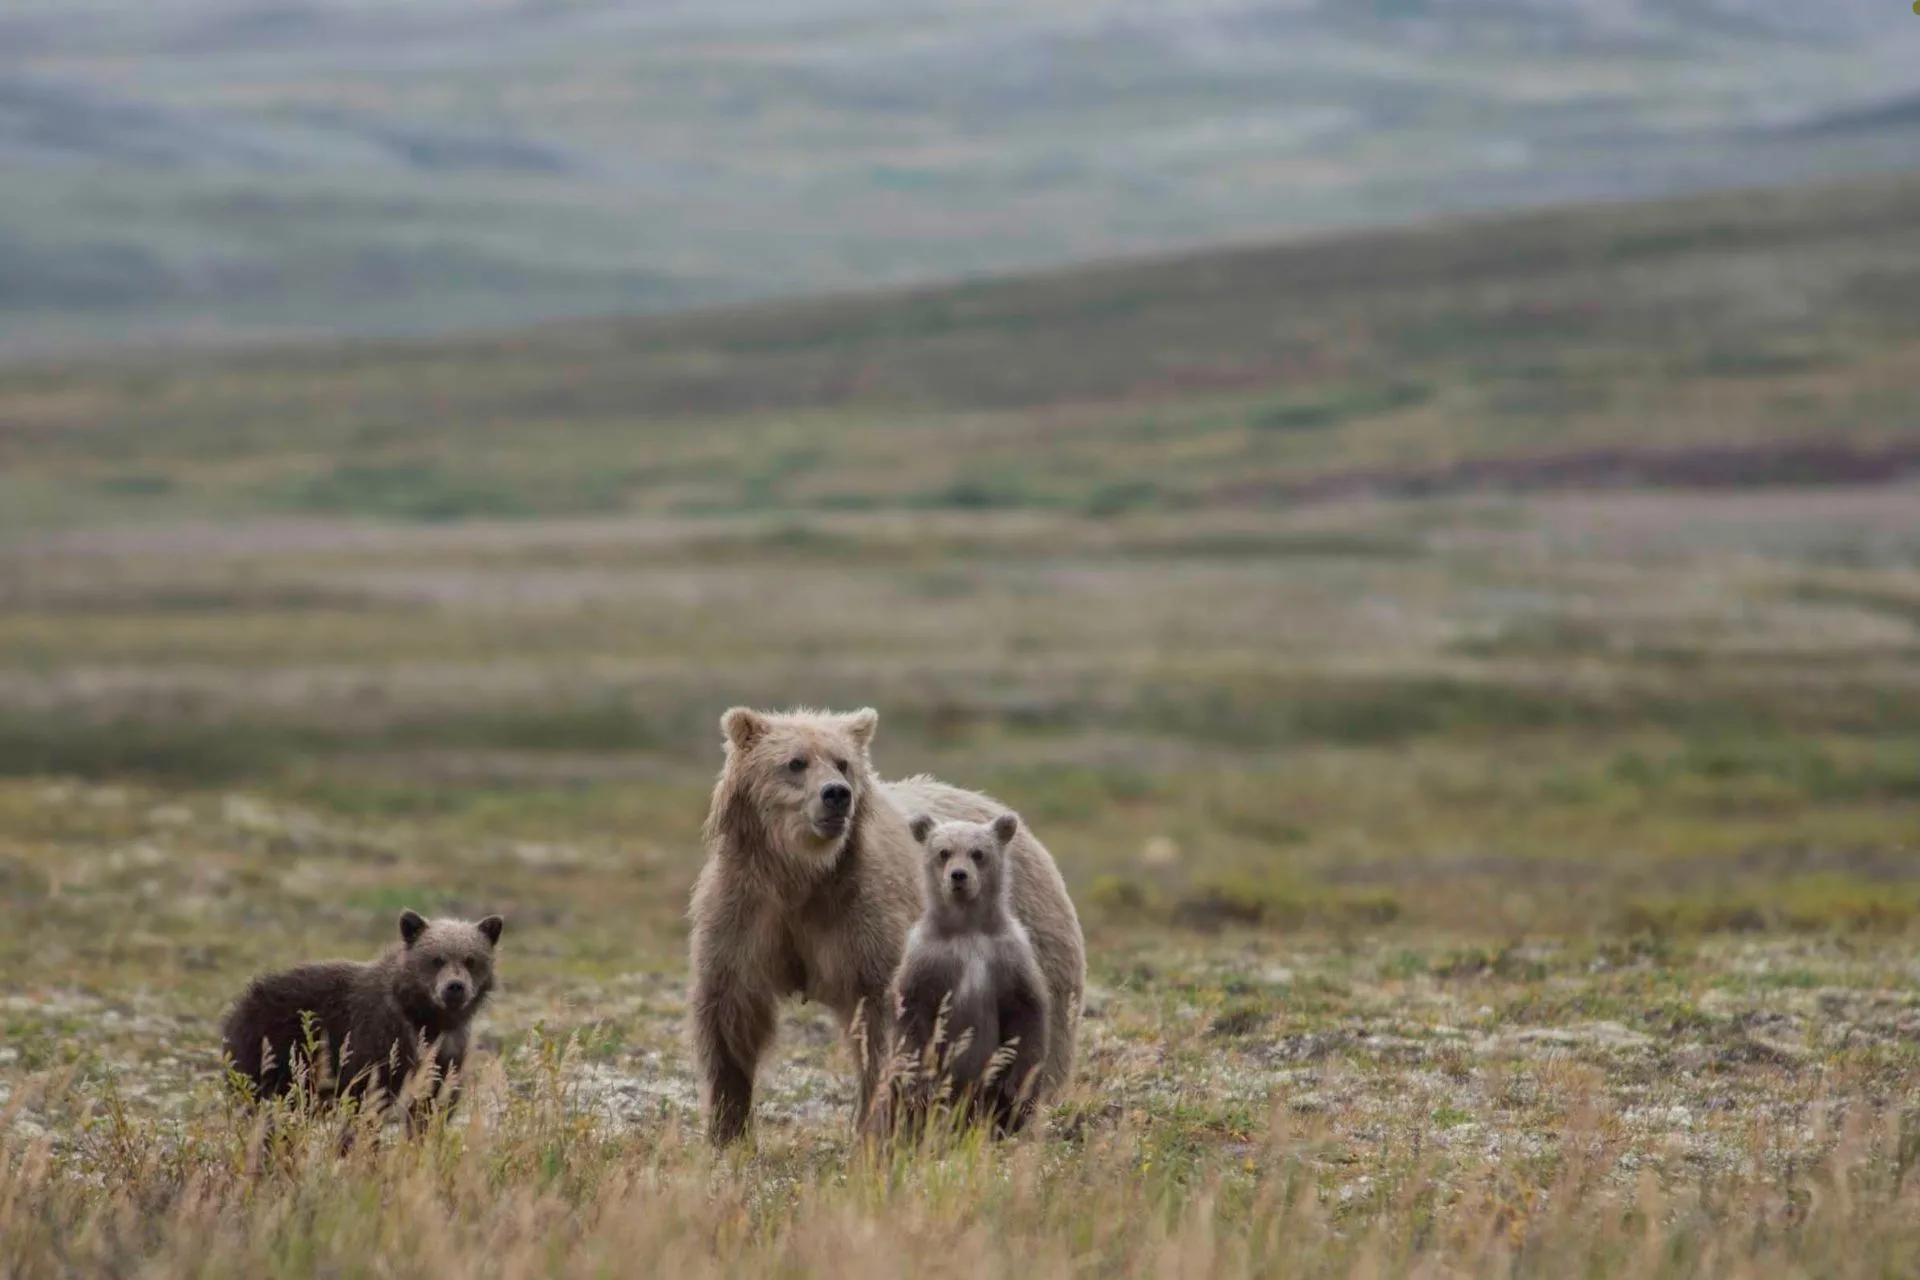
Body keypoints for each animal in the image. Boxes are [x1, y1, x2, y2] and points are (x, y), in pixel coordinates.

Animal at [220, 909, 504, 1127]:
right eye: (437, 959)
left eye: (470, 959)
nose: (455, 987)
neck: (426, 1018)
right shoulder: (377, 1037)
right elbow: (367, 1098)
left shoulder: (447, 1053)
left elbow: (432, 1104)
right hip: (271, 1048)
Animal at [891, 810, 1050, 1138]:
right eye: (943, 852)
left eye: (978, 853)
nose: (958, 876)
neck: (967, 928)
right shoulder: (927, 958)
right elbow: (912, 1014)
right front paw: (920, 1087)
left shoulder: (1009, 955)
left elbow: (1027, 1012)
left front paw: (1016, 1086)